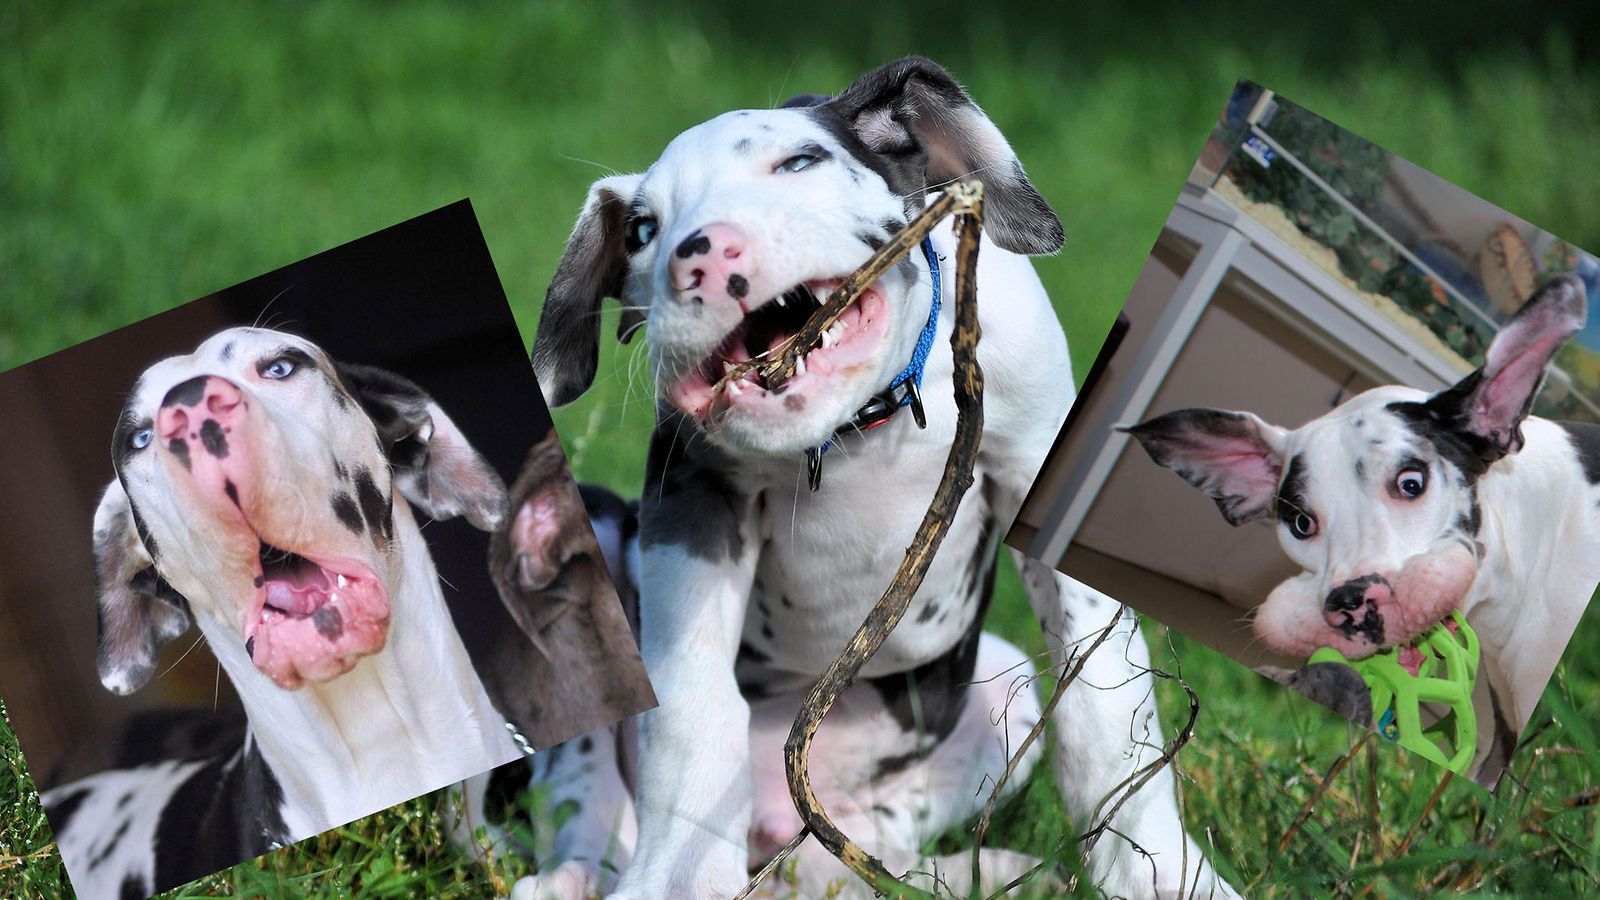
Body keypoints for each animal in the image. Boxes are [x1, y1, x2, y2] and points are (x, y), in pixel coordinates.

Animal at [524, 57, 1235, 896]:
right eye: (642, 229)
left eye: (800, 162)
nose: (700, 255)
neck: (860, 430)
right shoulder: (691, 507)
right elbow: (694, 712)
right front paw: (676, 881)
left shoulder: (1039, 481)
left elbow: (1108, 721)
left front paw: (1162, 872)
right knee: (583, 800)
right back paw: (572, 877)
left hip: (997, 691)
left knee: (869, 846)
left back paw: (980, 872)